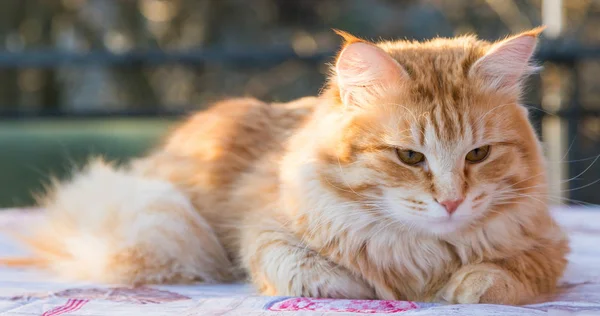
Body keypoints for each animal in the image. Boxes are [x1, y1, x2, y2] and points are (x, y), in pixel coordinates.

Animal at [3, 28, 568, 304]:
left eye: (478, 155)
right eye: (410, 157)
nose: (452, 201)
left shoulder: (546, 244)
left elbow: (501, 277)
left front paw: (462, 284)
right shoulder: (266, 230)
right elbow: (309, 274)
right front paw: (368, 288)